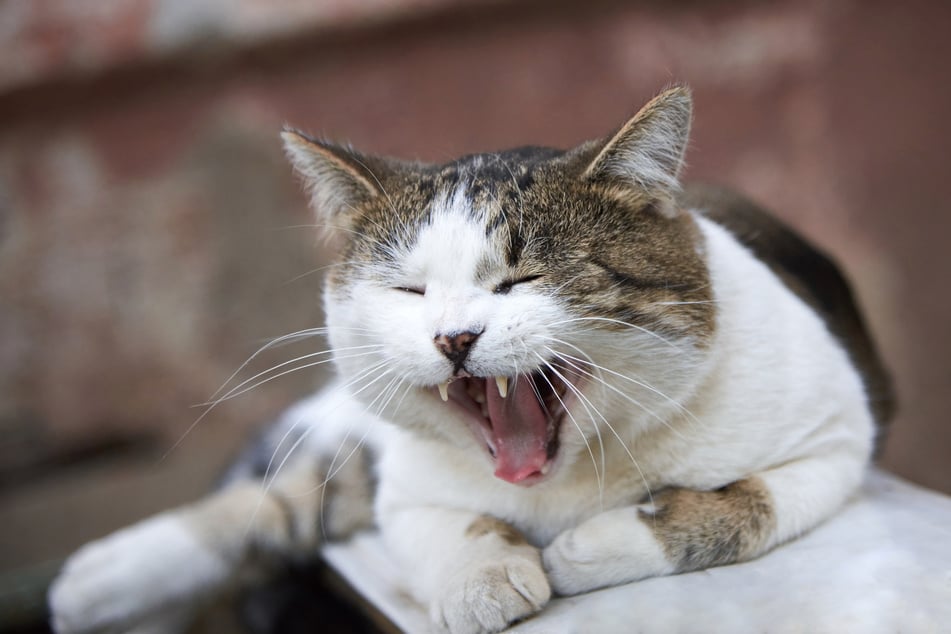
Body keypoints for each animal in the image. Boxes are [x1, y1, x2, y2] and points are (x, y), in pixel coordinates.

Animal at [46, 85, 892, 632]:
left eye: (523, 278)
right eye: (409, 290)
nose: (453, 337)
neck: (560, 483)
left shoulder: (836, 438)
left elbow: (747, 504)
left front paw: (595, 546)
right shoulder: (410, 492)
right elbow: (449, 529)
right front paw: (484, 578)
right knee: (297, 495)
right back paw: (102, 577)